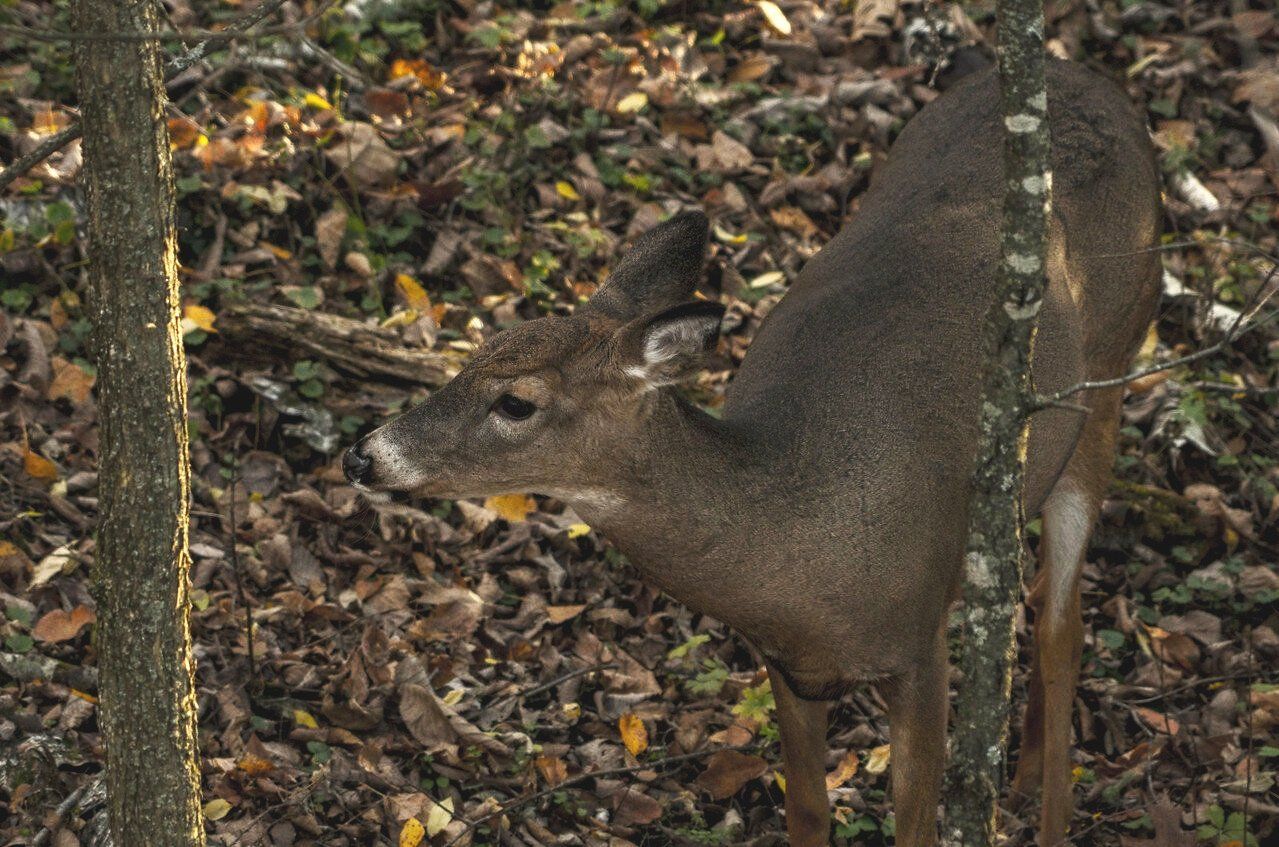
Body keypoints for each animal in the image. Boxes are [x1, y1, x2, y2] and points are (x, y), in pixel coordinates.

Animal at [345, 61, 1166, 847]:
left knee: (1061, 622)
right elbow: (807, 811)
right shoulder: (788, 665)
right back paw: (1020, 779)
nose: (364, 456)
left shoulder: (918, 646)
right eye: (473, 354)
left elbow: (916, 825)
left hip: (1112, 368)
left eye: (515, 402)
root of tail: (1085, 77)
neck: (801, 544)